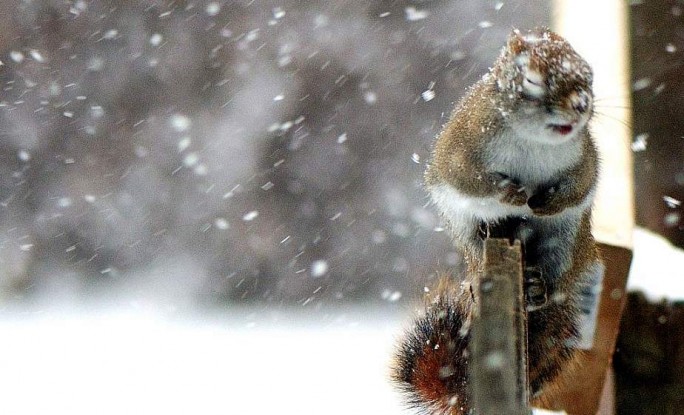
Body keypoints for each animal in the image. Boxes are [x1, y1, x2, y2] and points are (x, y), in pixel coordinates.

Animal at [392, 27, 600, 414]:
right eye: (531, 79)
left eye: (589, 77)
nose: (581, 104)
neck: (533, 139)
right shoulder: (462, 147)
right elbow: (468, 179)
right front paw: (511, 194)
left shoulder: (584, 156)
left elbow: (580, 185)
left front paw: (546, 201)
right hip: (467, 235)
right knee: (477, 254)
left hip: (565, 243)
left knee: (552, 281)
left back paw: (536, 287)